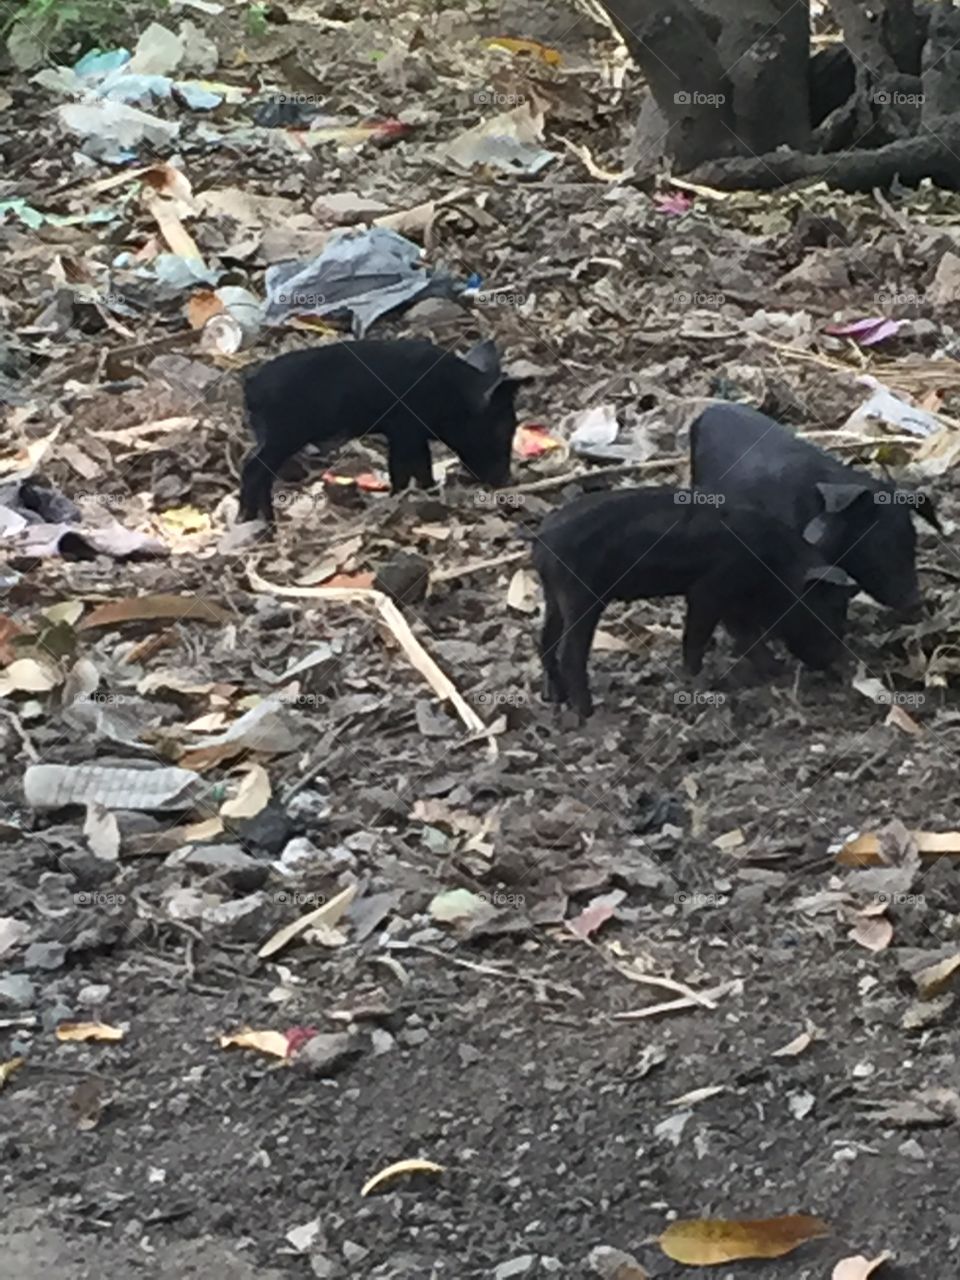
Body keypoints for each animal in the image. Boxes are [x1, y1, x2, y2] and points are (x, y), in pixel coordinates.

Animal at [238, 339, 526, 523]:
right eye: (501, 429)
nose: (506, 480)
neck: (452, 395)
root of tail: (250, 388)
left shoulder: (406, 434)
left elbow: (413, 466)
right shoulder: (405, 430)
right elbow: (407, 467)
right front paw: (414, 493)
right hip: (281, 435)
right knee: (253, 469)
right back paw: (254, 521)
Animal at [532, 487, 855, 718]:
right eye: (830, 609)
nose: (834, 662)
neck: (776, 565)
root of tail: (541, 538)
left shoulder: (733, 600)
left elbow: (746, 636)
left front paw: (776, 669)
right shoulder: (708, 590)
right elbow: (699, 636)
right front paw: (698, 680)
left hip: (554, 596)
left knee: (545, 641)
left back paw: (554, 697)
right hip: (581, 596)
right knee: (569, 652)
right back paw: (588, 712)